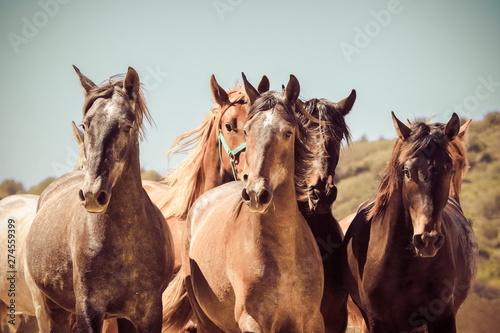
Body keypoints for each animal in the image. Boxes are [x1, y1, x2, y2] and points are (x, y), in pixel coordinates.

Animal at [25, 66, 174, 330]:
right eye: (85, 125)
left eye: (127, 126)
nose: (93, 195)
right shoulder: (88, 309)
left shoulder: (149, 312)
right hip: (51, 310)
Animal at [160, 75, 324, 332]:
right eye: (245, 130)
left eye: (288, 132)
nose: (256, 193)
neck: (285, 257)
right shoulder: (251, 320)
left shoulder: (312, 321)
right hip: (206, 322)